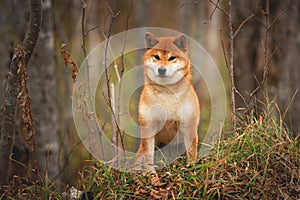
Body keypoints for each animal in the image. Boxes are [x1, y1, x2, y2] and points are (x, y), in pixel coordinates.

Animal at [135, 32, 200, 172]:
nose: (162, 70)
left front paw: (191, 168)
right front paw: (151, 175)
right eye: (156, 57)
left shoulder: (188, 125)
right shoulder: (149, 127)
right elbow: (148, 156)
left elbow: (191, 153)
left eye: (172, 58)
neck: (166, 93)